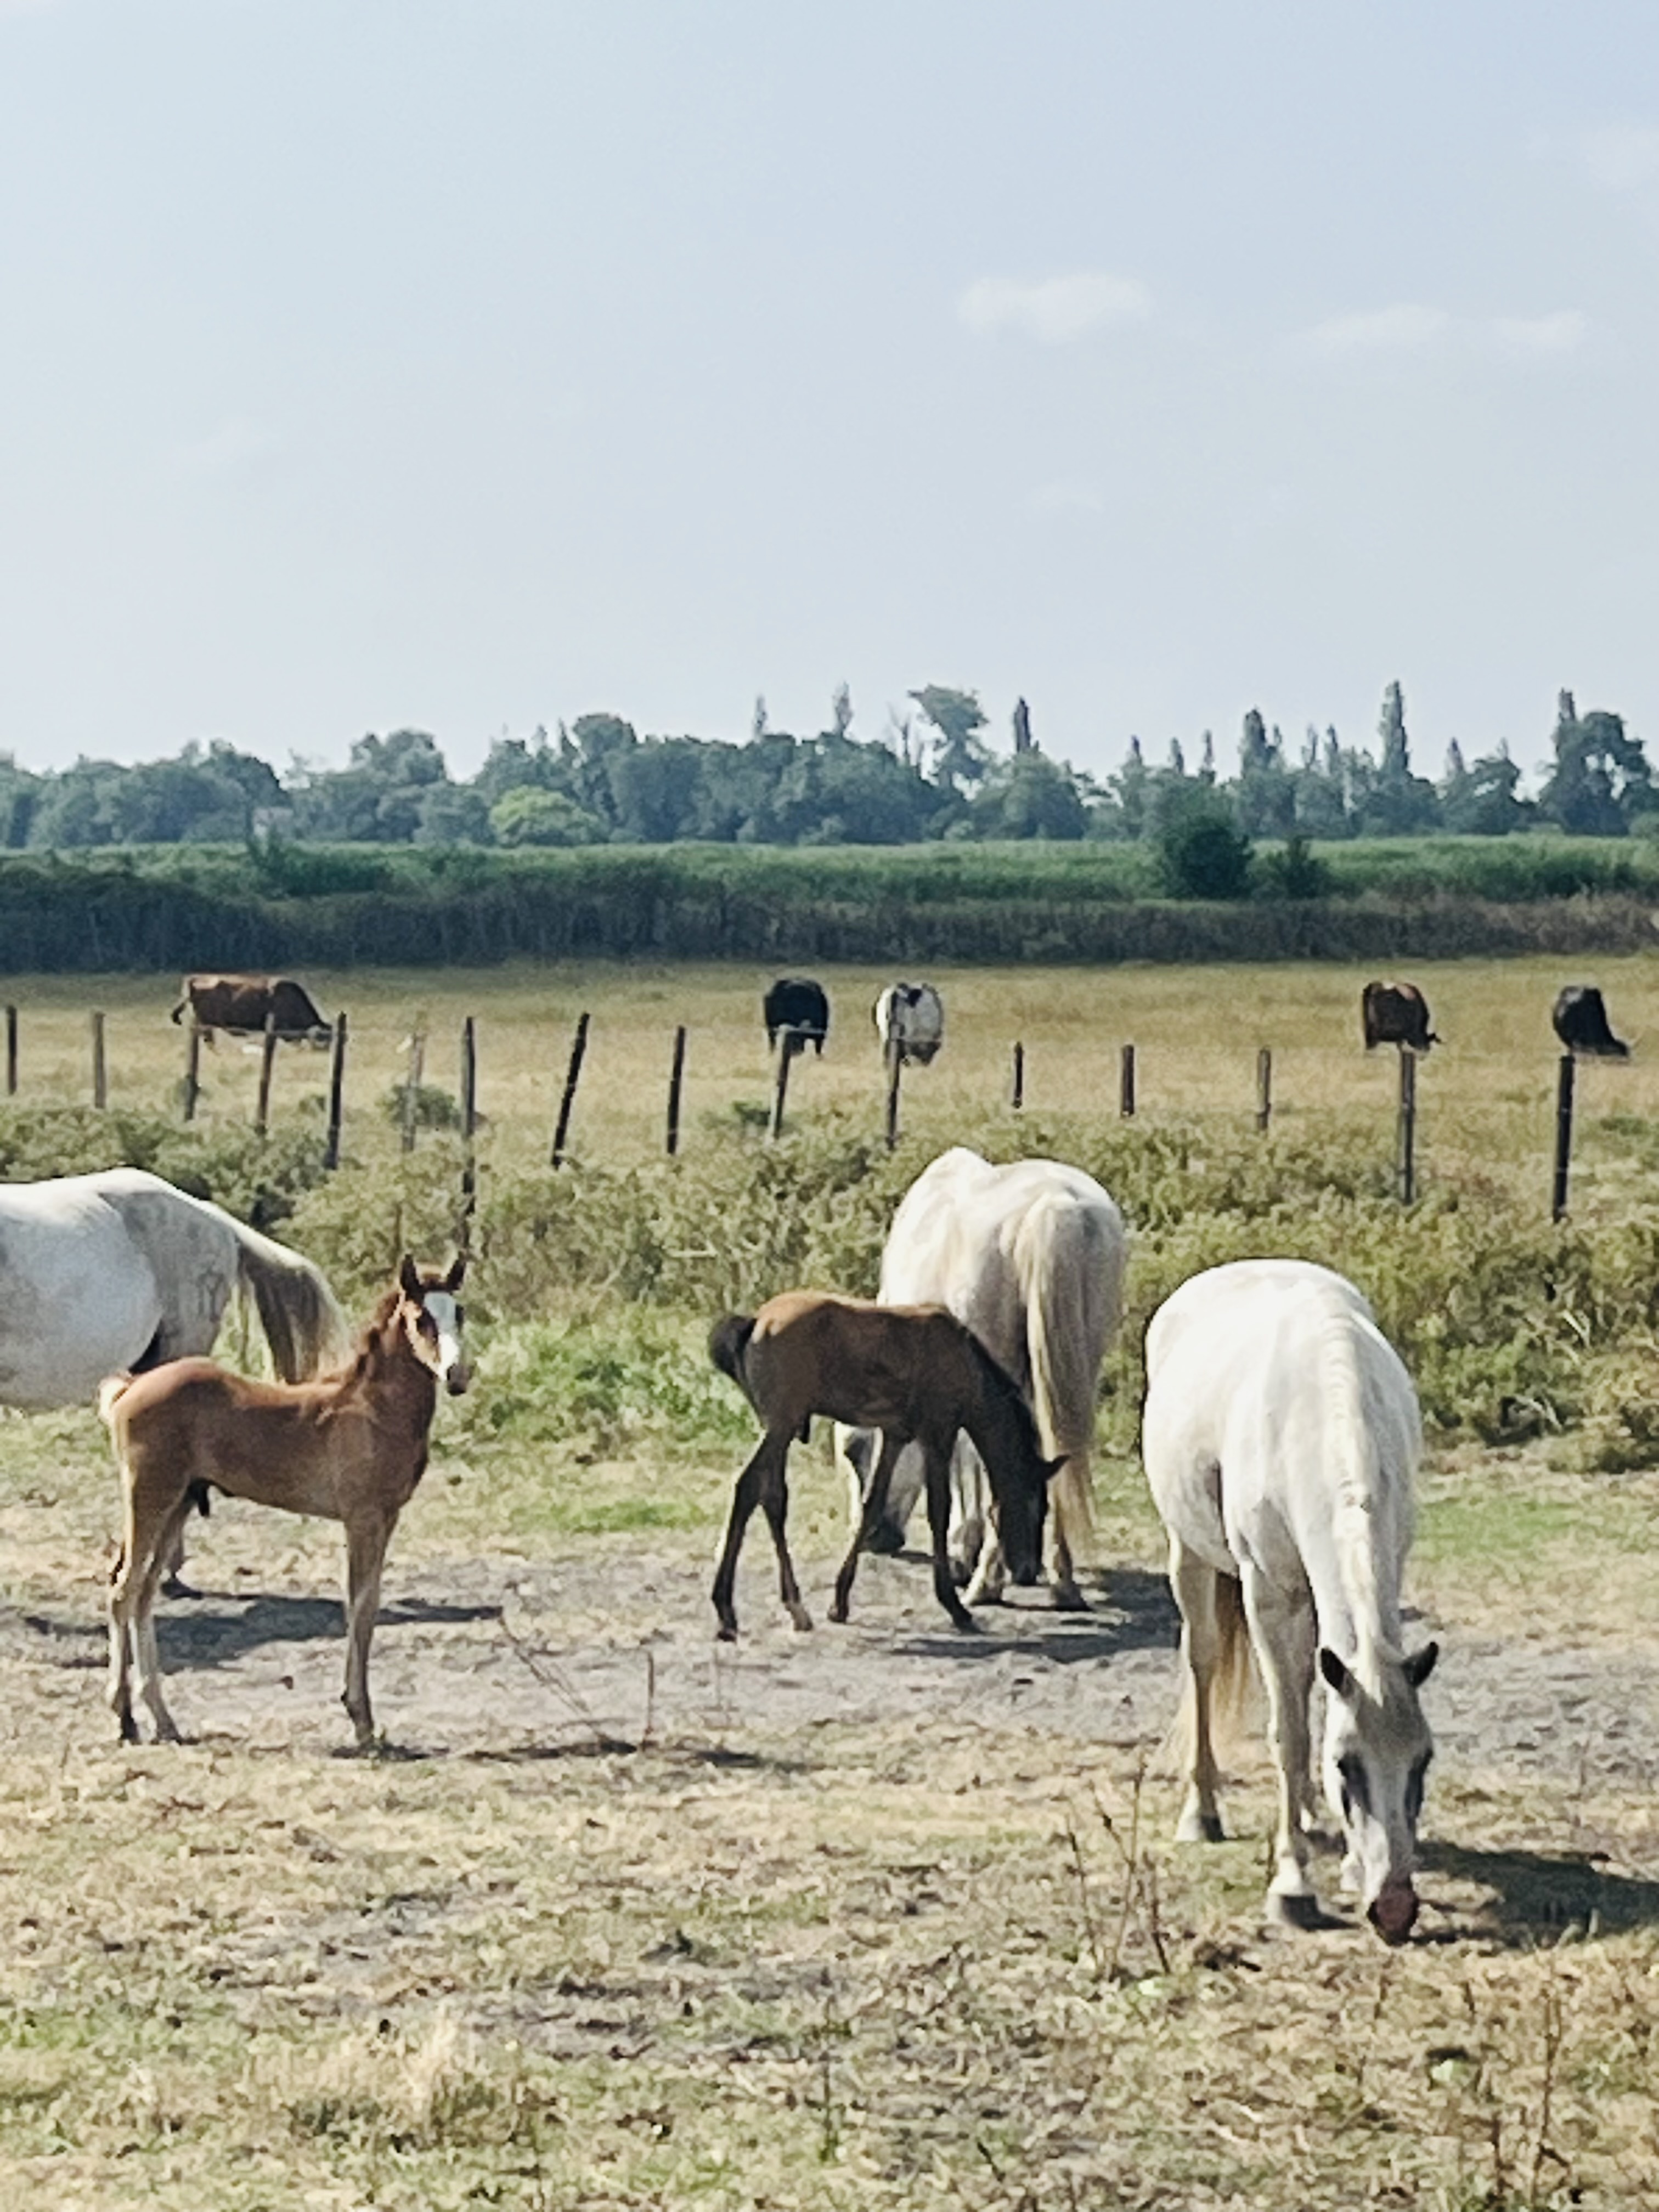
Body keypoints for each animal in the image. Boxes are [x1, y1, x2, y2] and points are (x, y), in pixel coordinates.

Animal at [102, 1255, 469, 1751]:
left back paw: (161, 1720)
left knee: (141, 1593)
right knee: (124, 1591)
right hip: (151, 1498)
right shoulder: (362, 1518)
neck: (374, 1410)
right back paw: (125, 1717)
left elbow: (367, 1603)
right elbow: (361, 1606)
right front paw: (362, 1721)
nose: (457, 1376)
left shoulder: (387, 1517)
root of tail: (129, 1388)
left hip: (176, 1505)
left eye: (460, 1313)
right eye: (421, 1319)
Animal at [707, 1289, 1063, 1642]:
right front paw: (954, 1606)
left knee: (772, 1498)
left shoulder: (894, 1436)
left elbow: (872, 1504)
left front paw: (840, 1603)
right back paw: (727, 1612)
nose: (1027, 1571)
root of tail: (756, 1321)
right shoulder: (938, 1436)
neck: (962, 1358)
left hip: (778, 1429)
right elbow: (939, 1511)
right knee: (748, 1487)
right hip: (781, 1427)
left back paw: (795, 1608)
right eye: (1034, 1507)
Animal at [836, 1147, 1125, 1609]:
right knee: (1063, 1448)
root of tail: (1055, 1207)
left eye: (854, 1449)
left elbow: (962, 1456)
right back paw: (1062, 1581)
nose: (875, 1539)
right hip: (1078, 1371)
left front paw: (962, 1550)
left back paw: (986, 1583)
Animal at [1141, 1259, 1437, 1944]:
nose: (1394, 1908)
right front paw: (1292, 1885)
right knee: (1204, 1661)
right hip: (1190, 1556)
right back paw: (1203, 1812)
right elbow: (1290, 1735)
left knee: (1304, 1681)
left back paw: (1302, 1810)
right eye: (1347, 1766)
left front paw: (1346, 1858)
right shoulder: (1267, 1592)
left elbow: (1311, 1711)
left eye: (1423, 1762)